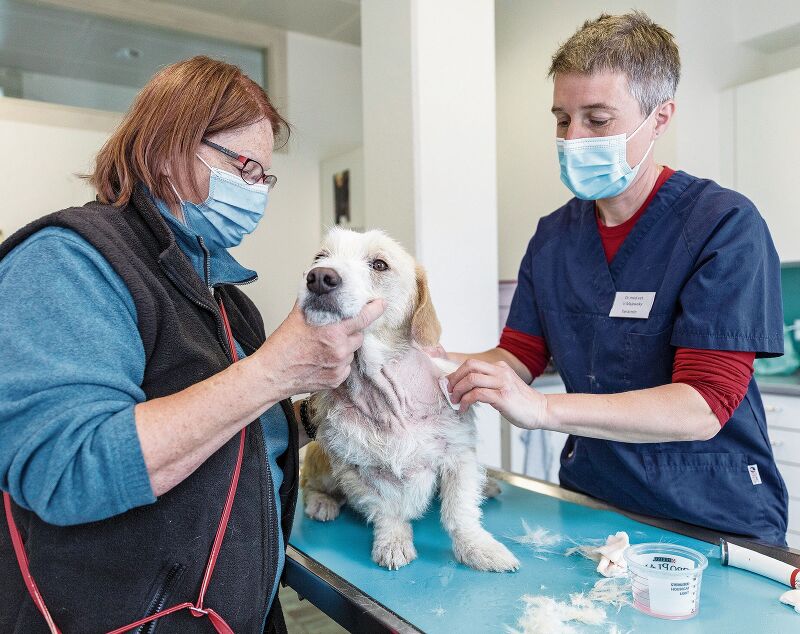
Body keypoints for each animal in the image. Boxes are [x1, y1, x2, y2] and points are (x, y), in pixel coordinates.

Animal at [300, 228, 520, 572]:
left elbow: (460, 511)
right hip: (319, 459)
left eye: (379, 264)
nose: (319, 277)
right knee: (307, 484)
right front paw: (393, 541)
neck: (384, 395)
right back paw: (322, 502)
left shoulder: (459, 456)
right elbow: (385, 509)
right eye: (320, 257)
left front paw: (478, 548)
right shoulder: (355, 470)